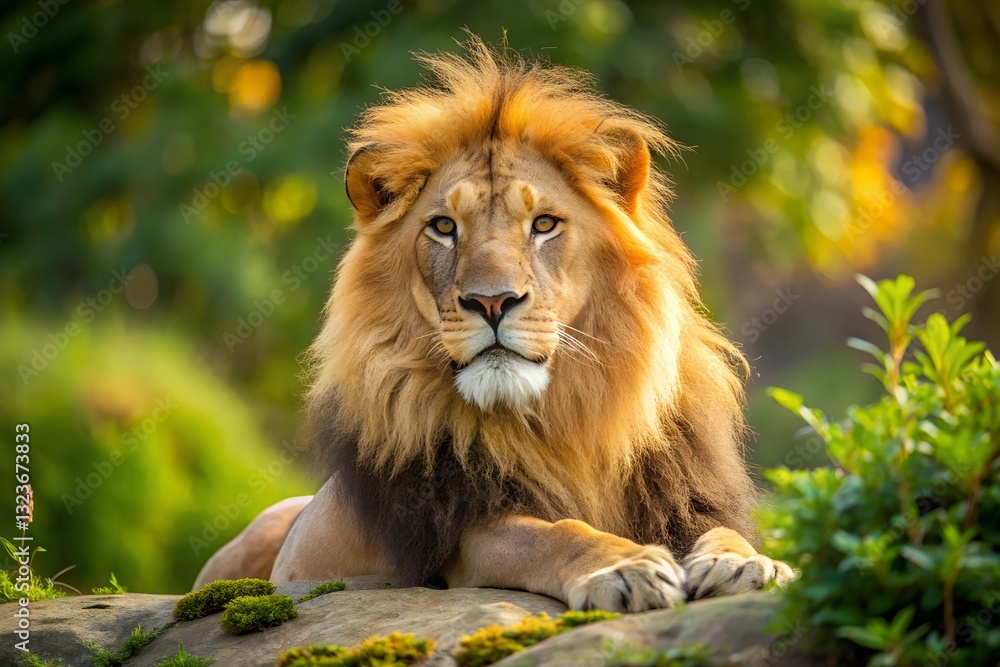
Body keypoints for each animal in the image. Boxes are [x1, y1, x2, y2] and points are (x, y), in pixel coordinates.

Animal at [194, 38, 793, 611]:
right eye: (443, 227)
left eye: (544, 224)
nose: (493, 301)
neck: (569, 424)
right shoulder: (463, 530)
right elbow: (554, 533)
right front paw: (623, 567)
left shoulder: (684, 502)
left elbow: (723, 531)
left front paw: (747, 563)